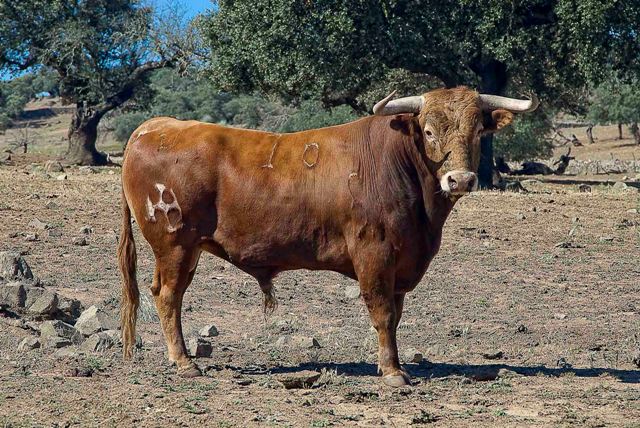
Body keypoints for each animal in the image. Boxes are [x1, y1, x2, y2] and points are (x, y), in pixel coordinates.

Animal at [117, 87, 536, 388]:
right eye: (429, 132)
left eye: (477, 131)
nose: (460, 180)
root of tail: (153, 127)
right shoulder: (374, 253)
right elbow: (383, 313)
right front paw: (393, 372)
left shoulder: (401, 263)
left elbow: (396, 314)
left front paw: (392, 364)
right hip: (174, 244)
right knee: (168, 296)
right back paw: (185, 362)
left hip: (187, 250)